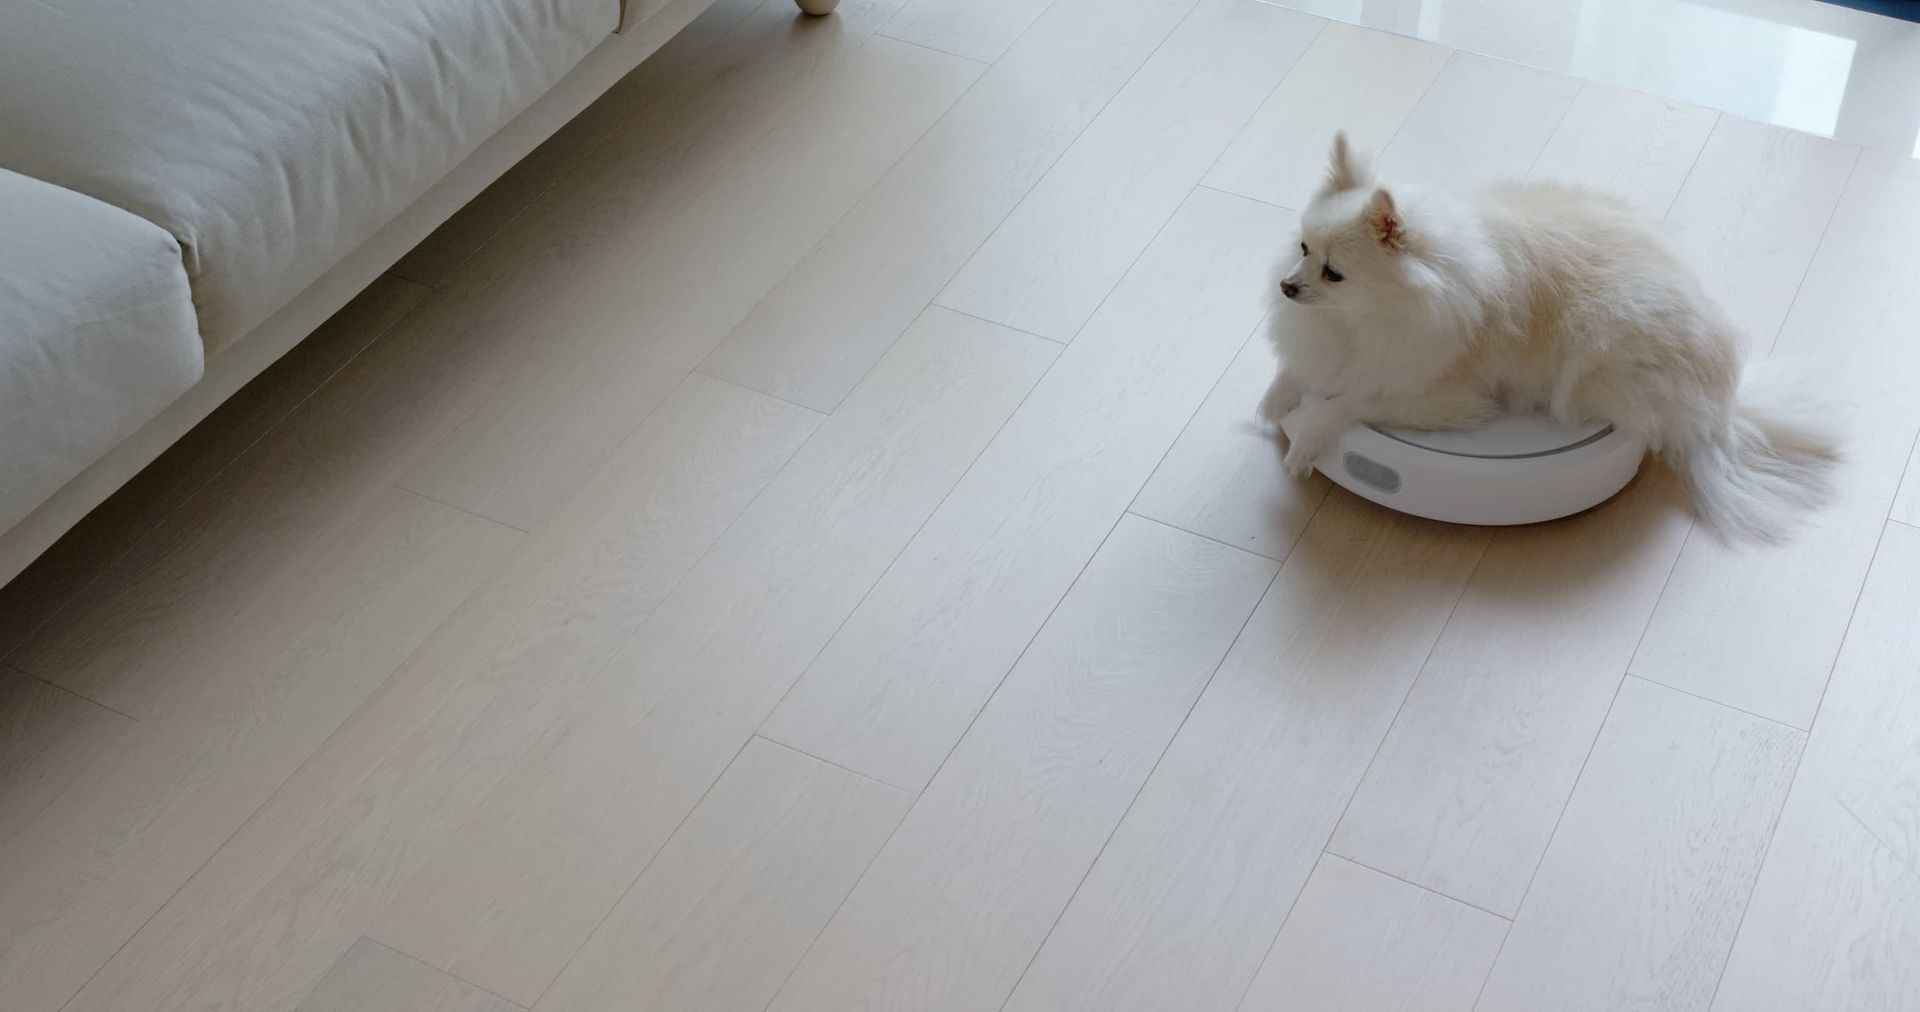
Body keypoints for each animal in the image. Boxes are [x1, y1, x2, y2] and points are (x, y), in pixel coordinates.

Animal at [1267, 137, 1835, 541]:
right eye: (1303, 248)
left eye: (1334, 274)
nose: (1286, 286)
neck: (1368, 318)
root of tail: (1722, 402)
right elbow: (1305, 368)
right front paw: (1277, 396)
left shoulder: (1444, 397)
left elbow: (1349, 401)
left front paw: (1308, 439)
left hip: (1600, 347)